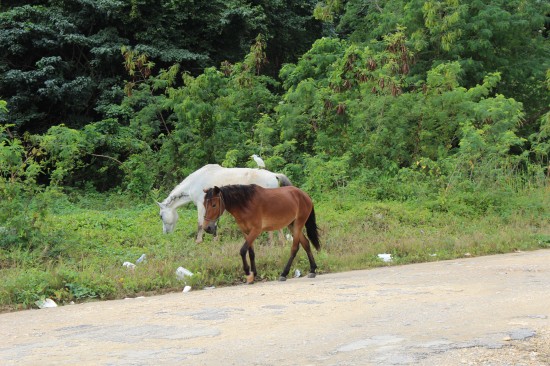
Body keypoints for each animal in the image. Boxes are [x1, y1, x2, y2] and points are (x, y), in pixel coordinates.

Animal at [157, 164, 294, 243]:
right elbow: (213, 224)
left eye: (161, 216)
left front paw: (198, 241)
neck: (194, 182)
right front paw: (215, 240)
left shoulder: (201, 206)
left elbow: (200, 224)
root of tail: (274, 175)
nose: (165, 233)